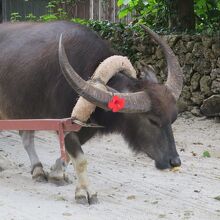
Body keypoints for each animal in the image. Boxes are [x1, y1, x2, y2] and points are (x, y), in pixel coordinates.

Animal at [0, 20, 182, 205]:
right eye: (152, 120)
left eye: (173, 119)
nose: (174, 161)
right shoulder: (65, 124)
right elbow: (80, 159)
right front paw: (85, 192)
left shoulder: (83, 126)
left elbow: (67, 155)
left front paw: (56, 174)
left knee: (26, 137)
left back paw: (37, 170)